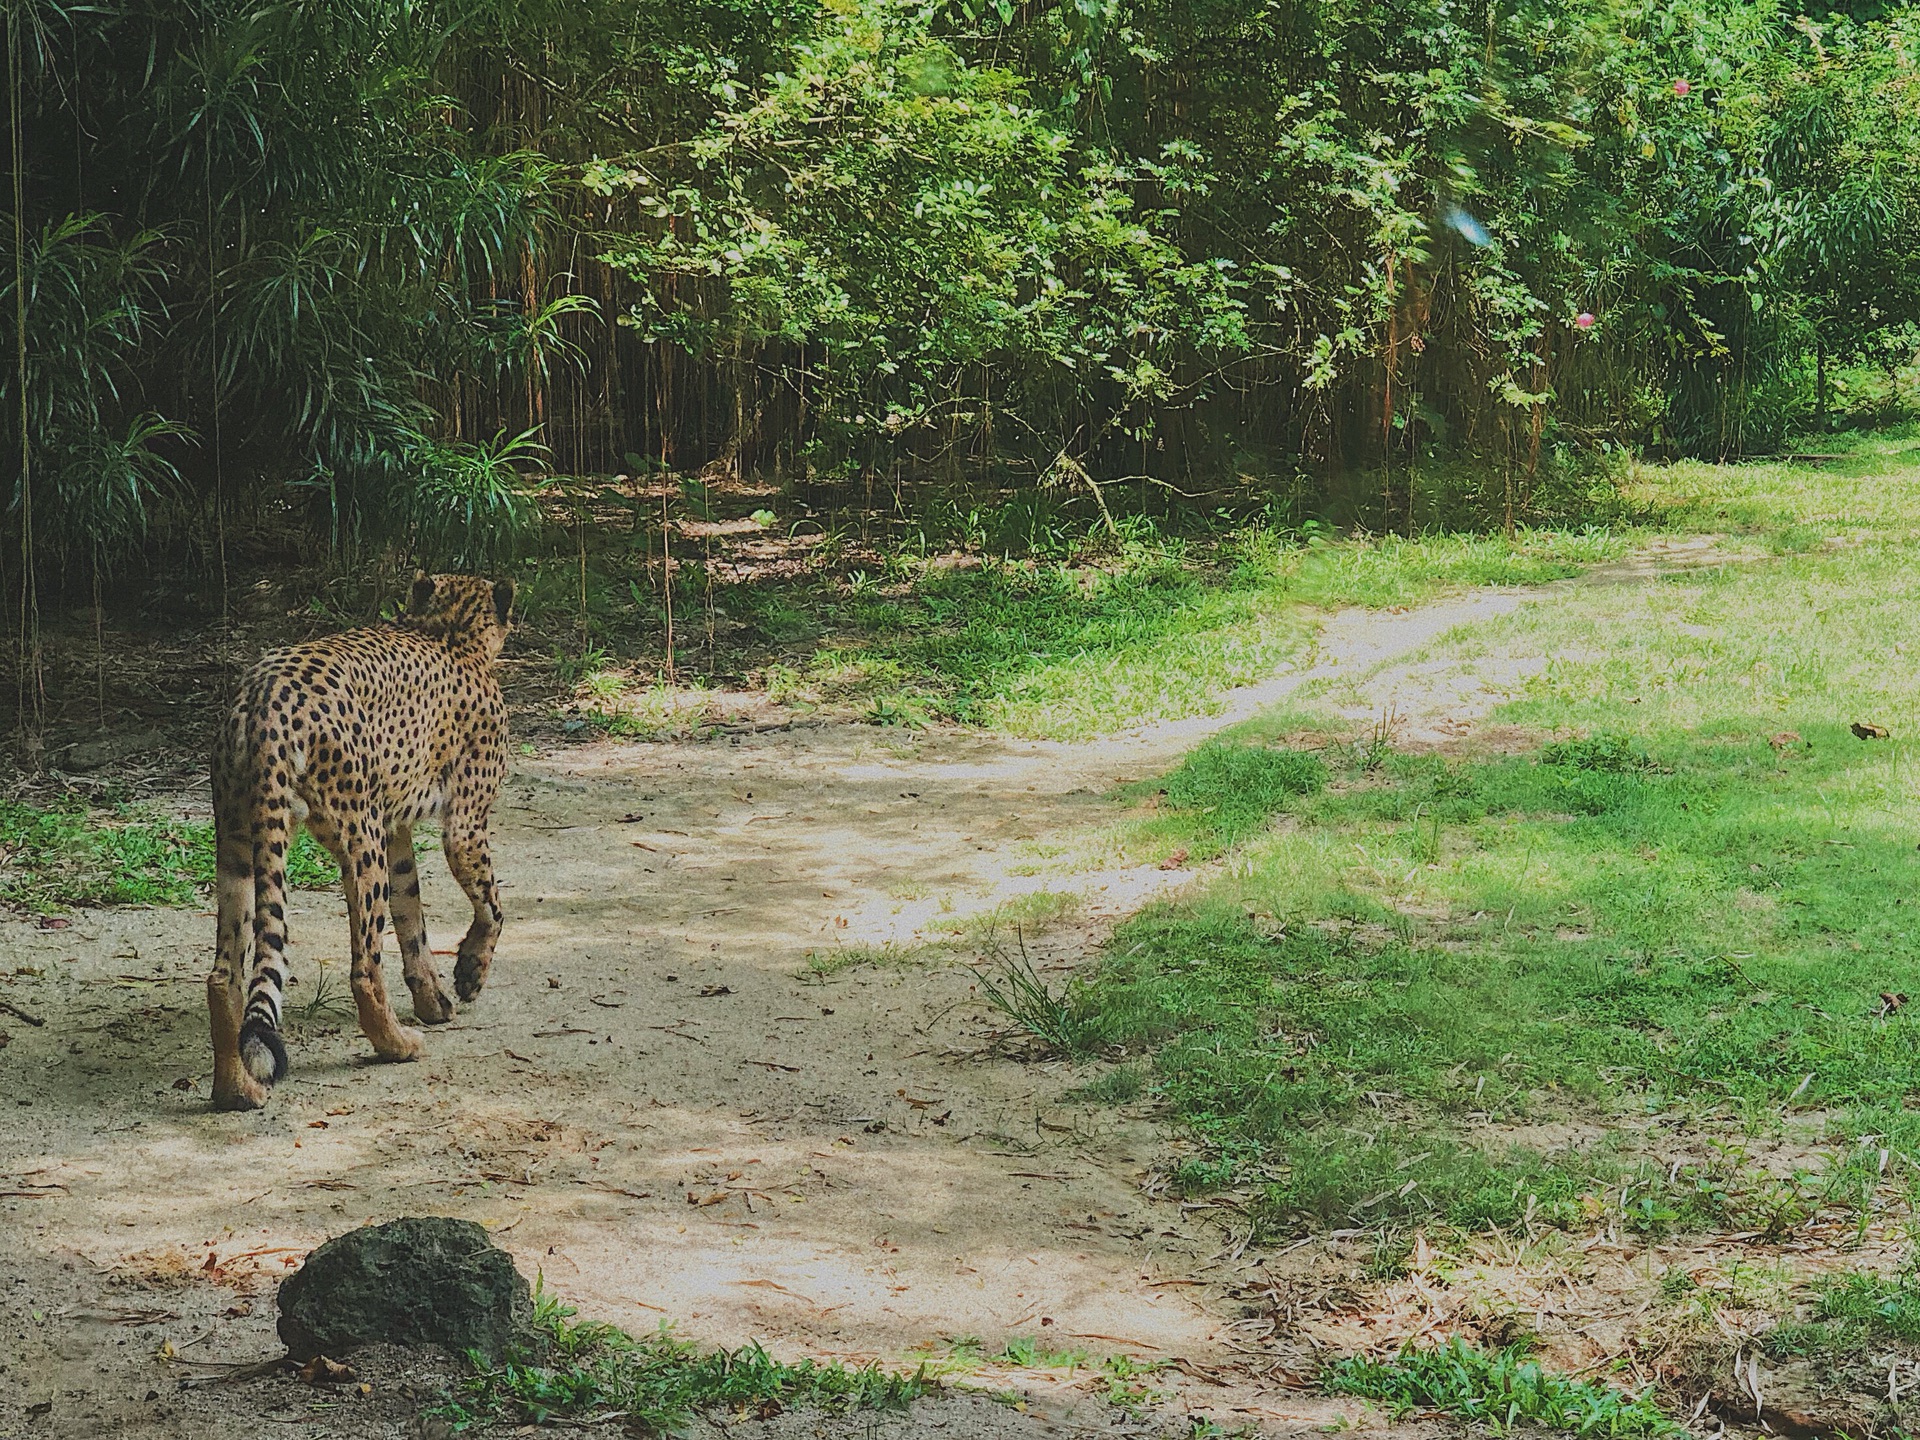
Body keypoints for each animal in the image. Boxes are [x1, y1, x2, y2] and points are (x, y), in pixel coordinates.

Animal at [209, 576, 514, 1113]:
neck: (447, 629)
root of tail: (264, 694)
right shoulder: (462, 825)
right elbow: (492, 908)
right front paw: (469, 973)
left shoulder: (396, 831)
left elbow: (412, 917)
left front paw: (434, 999)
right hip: (359, 840)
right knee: (364, 968)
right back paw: (398, 1046)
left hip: (239, 843)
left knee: (224, 976)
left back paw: (237, 1090)